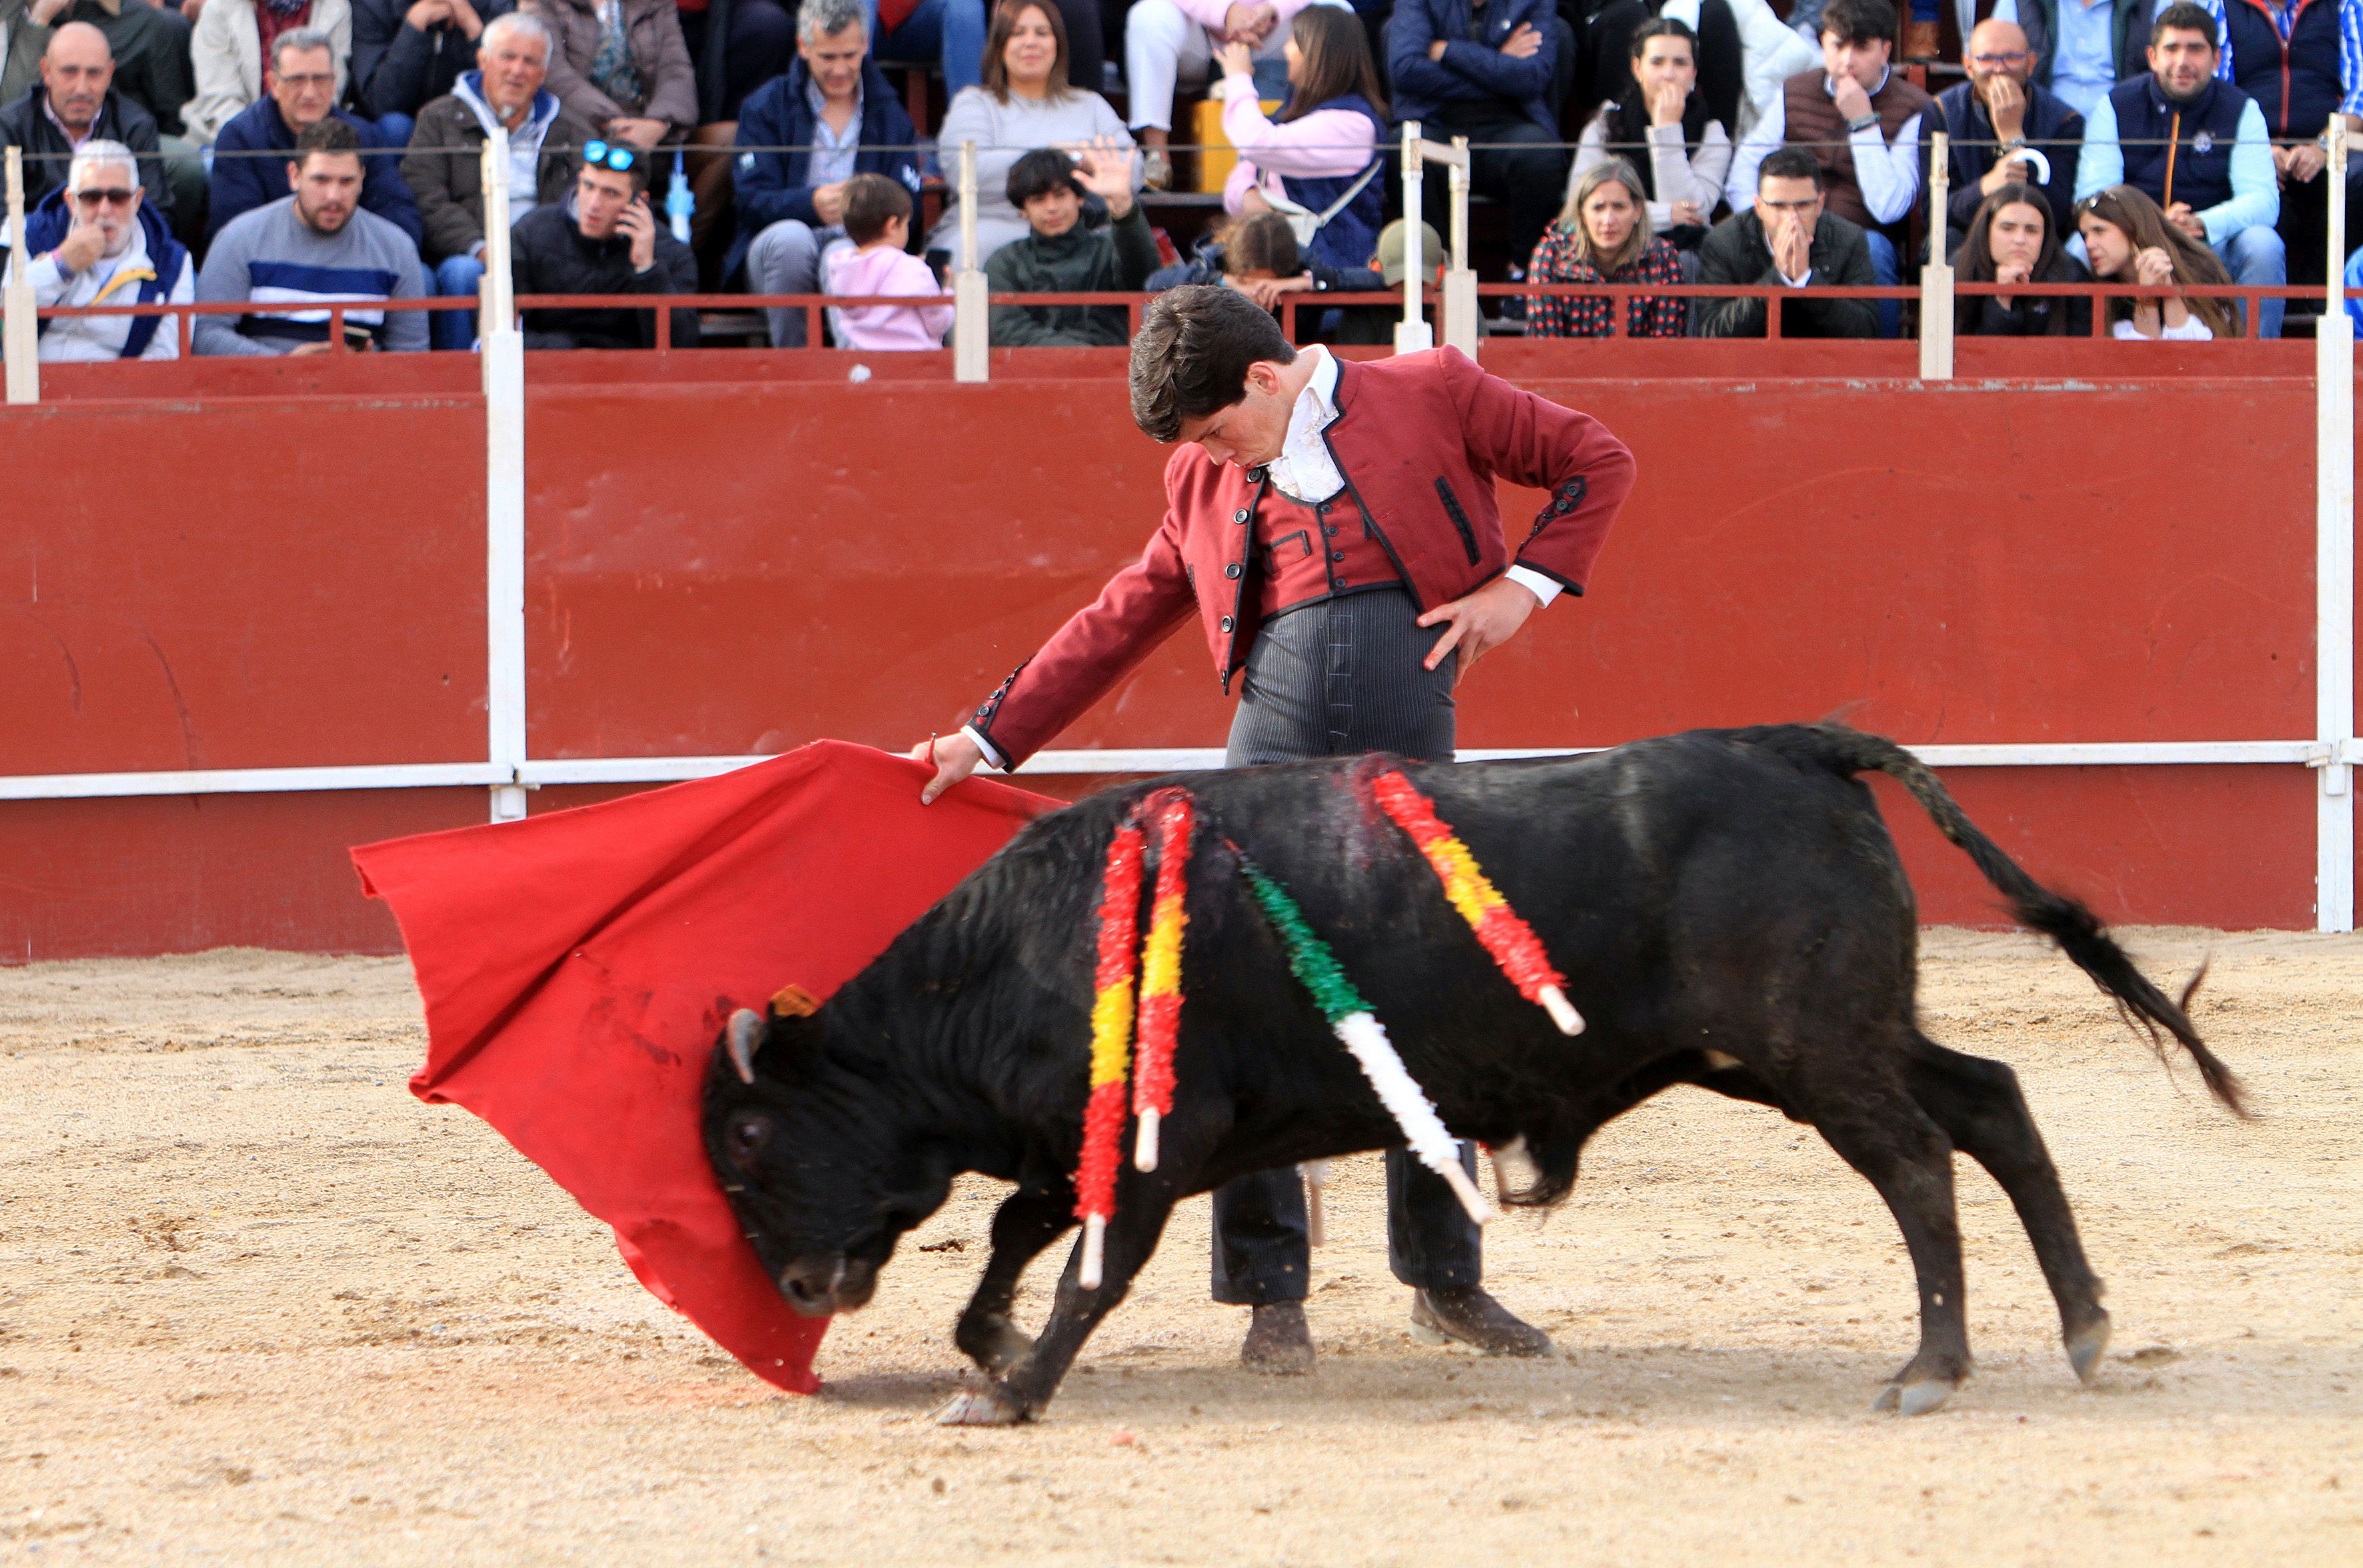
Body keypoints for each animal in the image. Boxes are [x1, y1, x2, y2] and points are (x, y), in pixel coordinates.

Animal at [694, 727, 2230, 1426]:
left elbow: (1086, 1260)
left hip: (1814, 1047)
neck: (1019, 944)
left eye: (753, 1137)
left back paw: (1929, 1364)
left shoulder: (1156, 1138)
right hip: (1814, 1043)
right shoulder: (1104, 1143)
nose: (796, 1288)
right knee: (1991, 1102)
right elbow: (1023, 1227)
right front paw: (985, 1345)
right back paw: (2083, 1326)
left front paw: (1010, 1391)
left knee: (1916, 1160)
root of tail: (1799, 740)